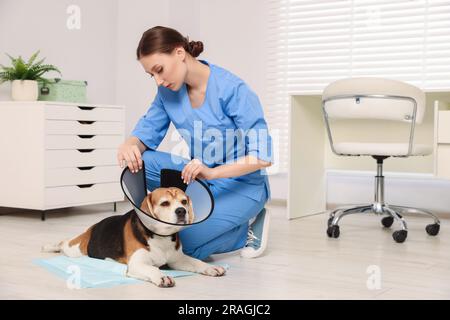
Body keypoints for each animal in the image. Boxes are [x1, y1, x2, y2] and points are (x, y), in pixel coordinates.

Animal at [41, 185, 225, 288]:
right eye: (165, 203)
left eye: (184, 201)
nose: (181, 211)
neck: (161, 236)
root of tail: (92, 228)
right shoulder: (137, 264)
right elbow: (153, 269)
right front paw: (162, 276)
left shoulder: (177, 260)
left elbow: (196, 262)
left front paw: (211, 268)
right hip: (76, 249)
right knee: (63, 243)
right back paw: (49, 246)